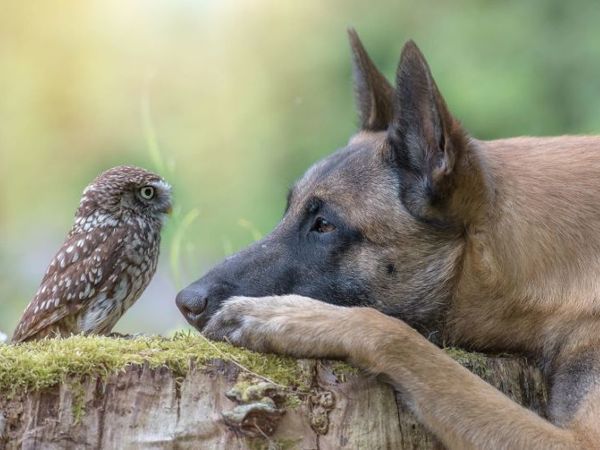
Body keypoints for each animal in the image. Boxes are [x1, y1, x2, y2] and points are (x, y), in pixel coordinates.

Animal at [176, 29, 600, 448]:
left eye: (324, 225)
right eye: (289, 210)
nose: (185, 302)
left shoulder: (577, 441)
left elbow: (397, 336)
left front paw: (282, 316)